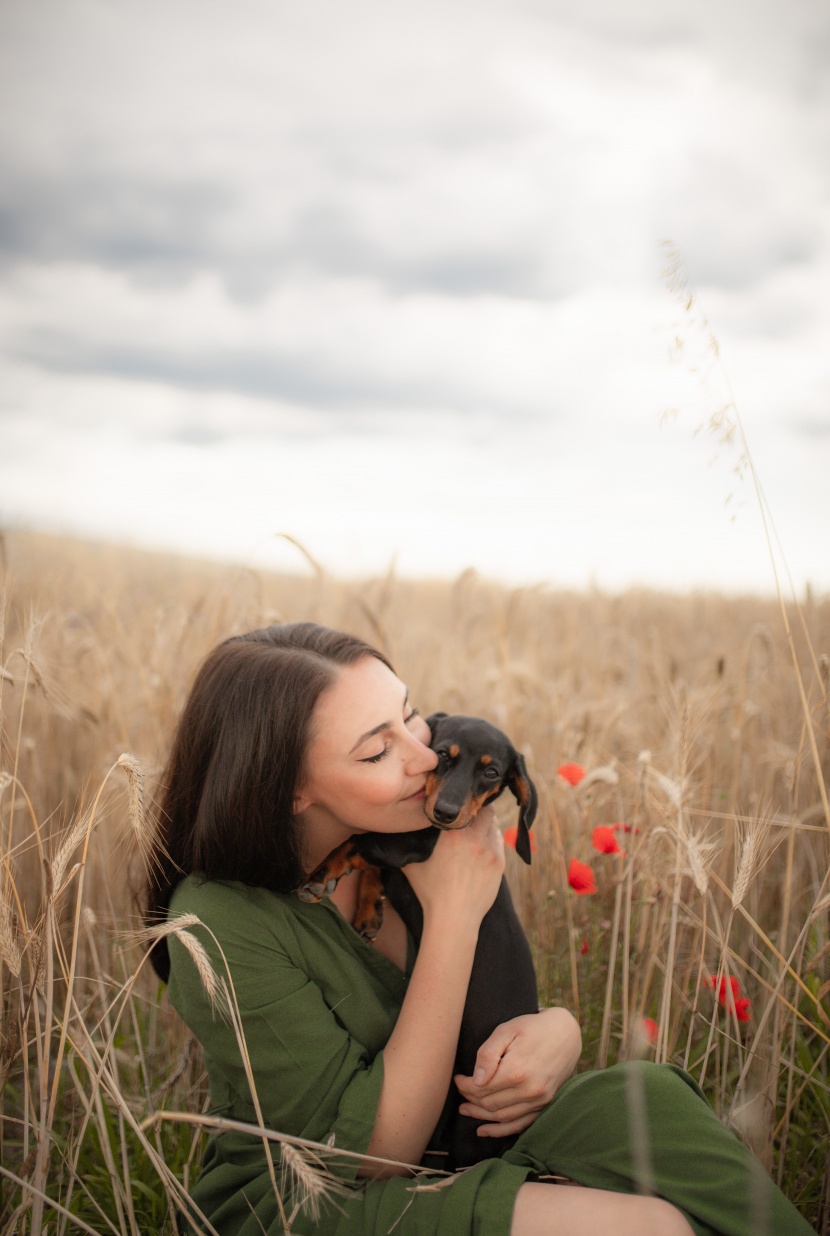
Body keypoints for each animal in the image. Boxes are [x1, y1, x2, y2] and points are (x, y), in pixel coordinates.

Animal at [298, 716, 538, 1166]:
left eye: (491, 773)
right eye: (442, 754)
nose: (444, 813)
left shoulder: (413, 842)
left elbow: (356, 839)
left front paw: (321, 874)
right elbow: (371, 860)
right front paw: (368, 910)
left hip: (471, 1127)